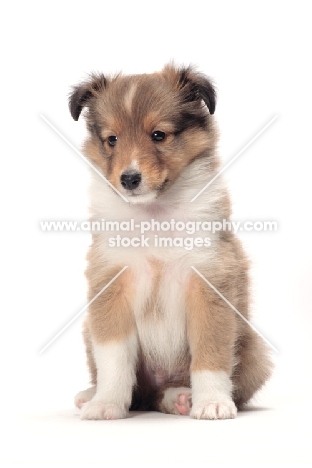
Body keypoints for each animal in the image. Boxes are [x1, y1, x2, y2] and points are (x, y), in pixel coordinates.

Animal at [68, 63, 270, 420]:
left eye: (158, 135)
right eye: (112, 139)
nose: (129, 179)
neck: (155, 213)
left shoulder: (208, 282)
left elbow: (210, 354)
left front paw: (212, 403)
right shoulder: (111, 283)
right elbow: (114, 358)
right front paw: (106, 404)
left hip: (255, 351)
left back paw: (183, 397)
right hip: (89, 331)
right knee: (138, 391)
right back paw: (91, 394)